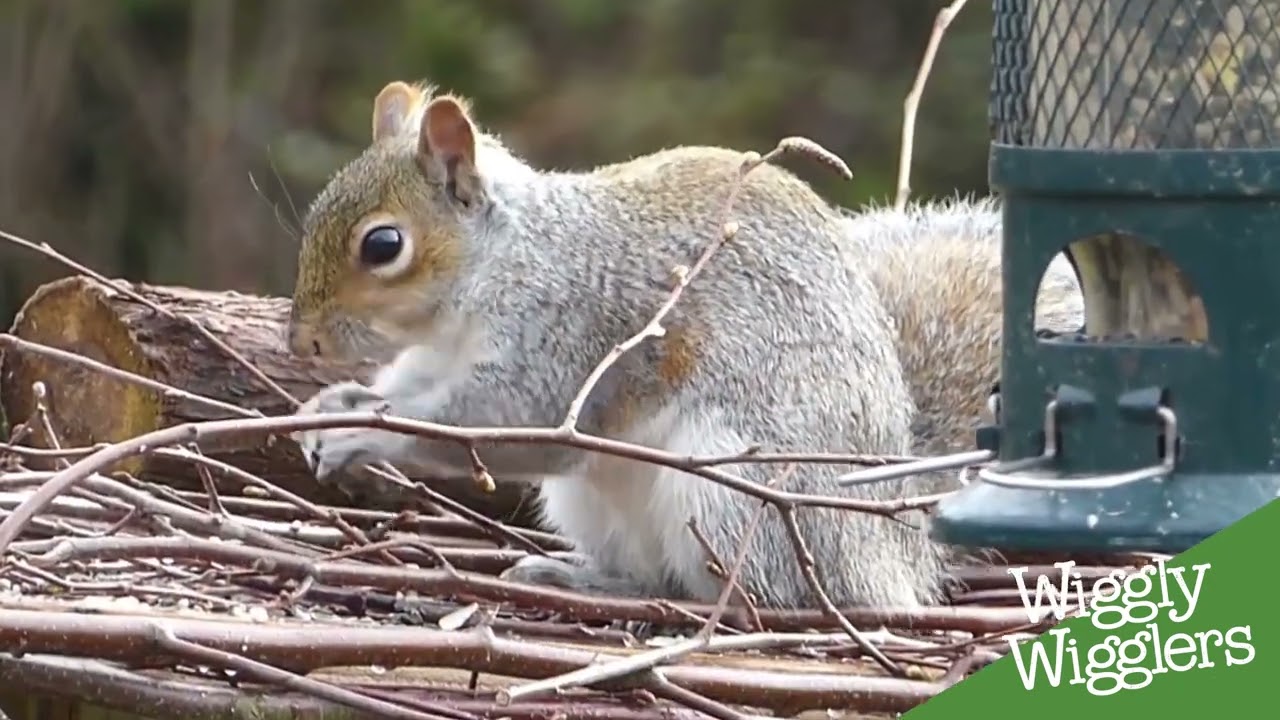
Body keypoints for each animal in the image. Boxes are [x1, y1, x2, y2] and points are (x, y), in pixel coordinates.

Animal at [285, 80, 1082, 610]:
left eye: (383, 246)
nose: (302, 344)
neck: (493, 269)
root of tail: (889, 553)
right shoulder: (435, 359)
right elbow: (406, 391)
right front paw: (335, 407)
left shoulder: (570, 335)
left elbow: (508, 424)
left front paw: (362, 431)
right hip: (594, 506)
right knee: (650, 571)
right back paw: (586, 576)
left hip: (731, 492)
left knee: (753, 595)